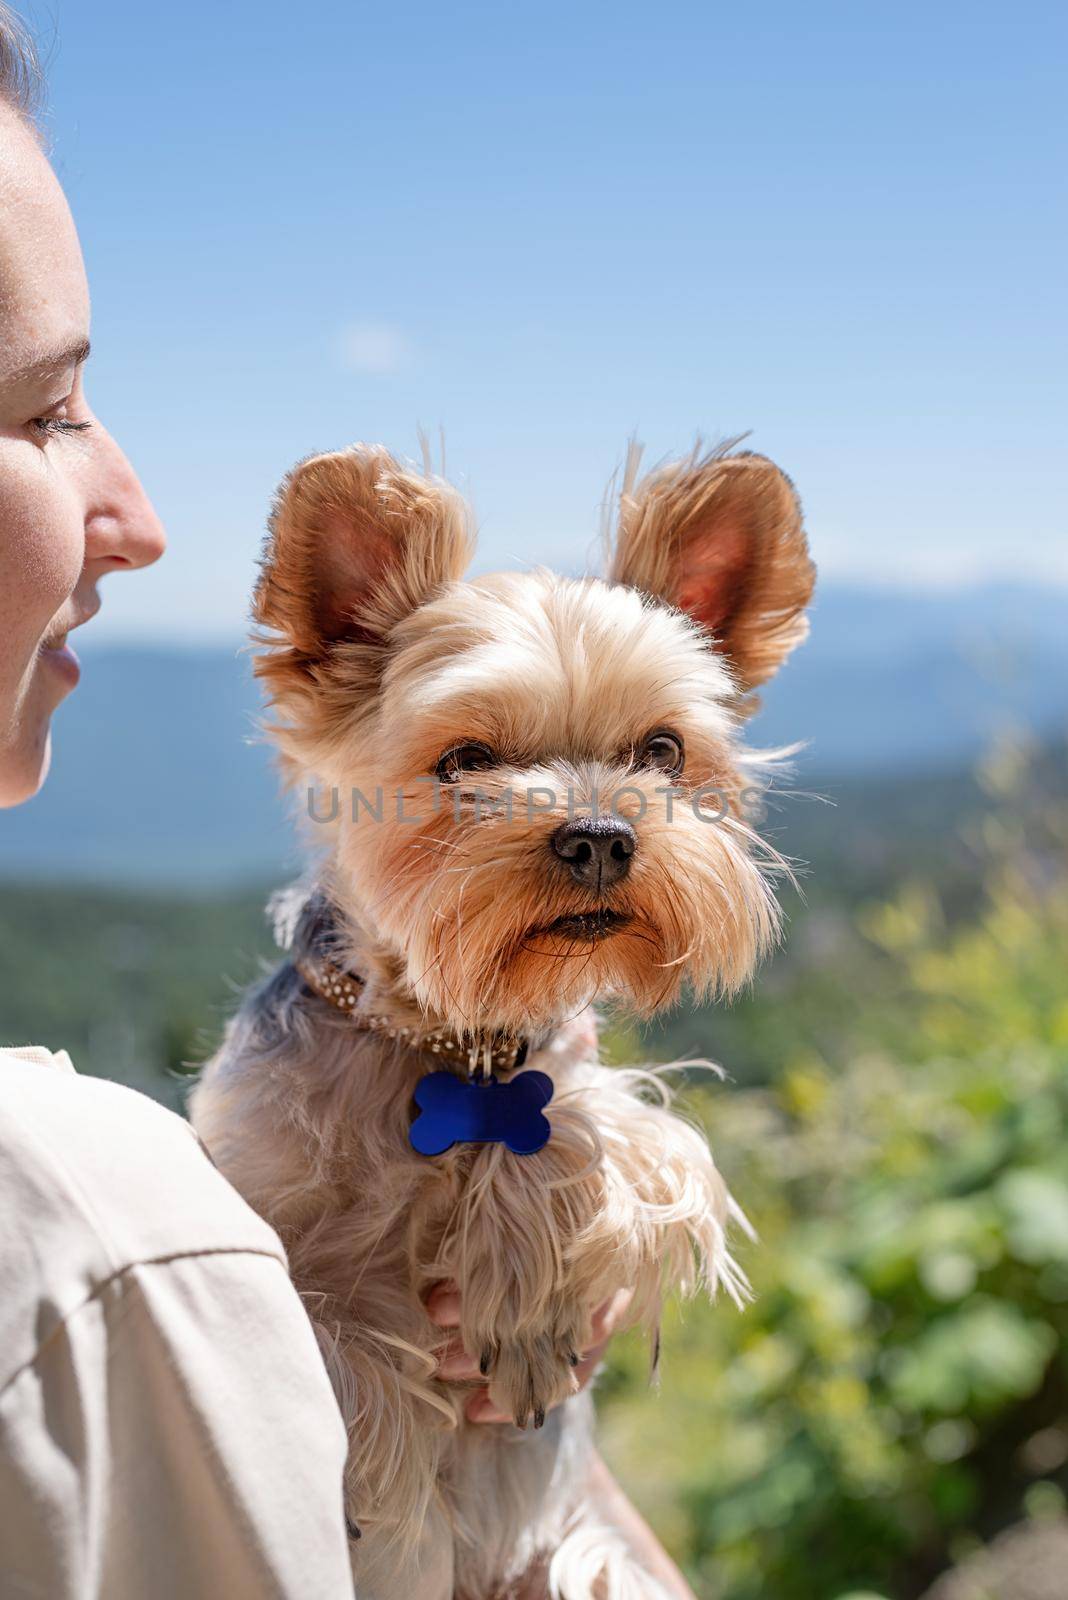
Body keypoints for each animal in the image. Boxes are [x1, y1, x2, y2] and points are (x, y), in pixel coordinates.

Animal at [191, 438, 812, 1600]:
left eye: (664, 750)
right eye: (465, 759)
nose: (602, 836)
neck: (448, 1038)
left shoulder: (581, 1087)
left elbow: (604, 1128)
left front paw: (523, 1305)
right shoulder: (241, 1184)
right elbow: (329, 1338)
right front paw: (381, 1488)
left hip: (586, 1557)